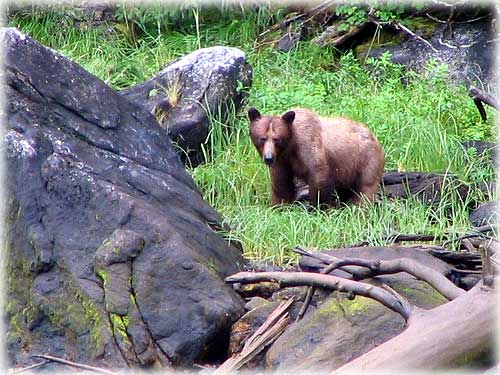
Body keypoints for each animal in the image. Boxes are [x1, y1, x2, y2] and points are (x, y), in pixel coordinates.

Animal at [248, 107, 384, 207]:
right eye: (262, 138)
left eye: (277, 139)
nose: (268, 158)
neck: (290, 146)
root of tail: (375, 138)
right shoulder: (282, 161)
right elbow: (281, 183)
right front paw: (280, 205)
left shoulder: (308, 146)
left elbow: (318, 176)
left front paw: (316, 208)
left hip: (366, 160)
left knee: (365, 188)